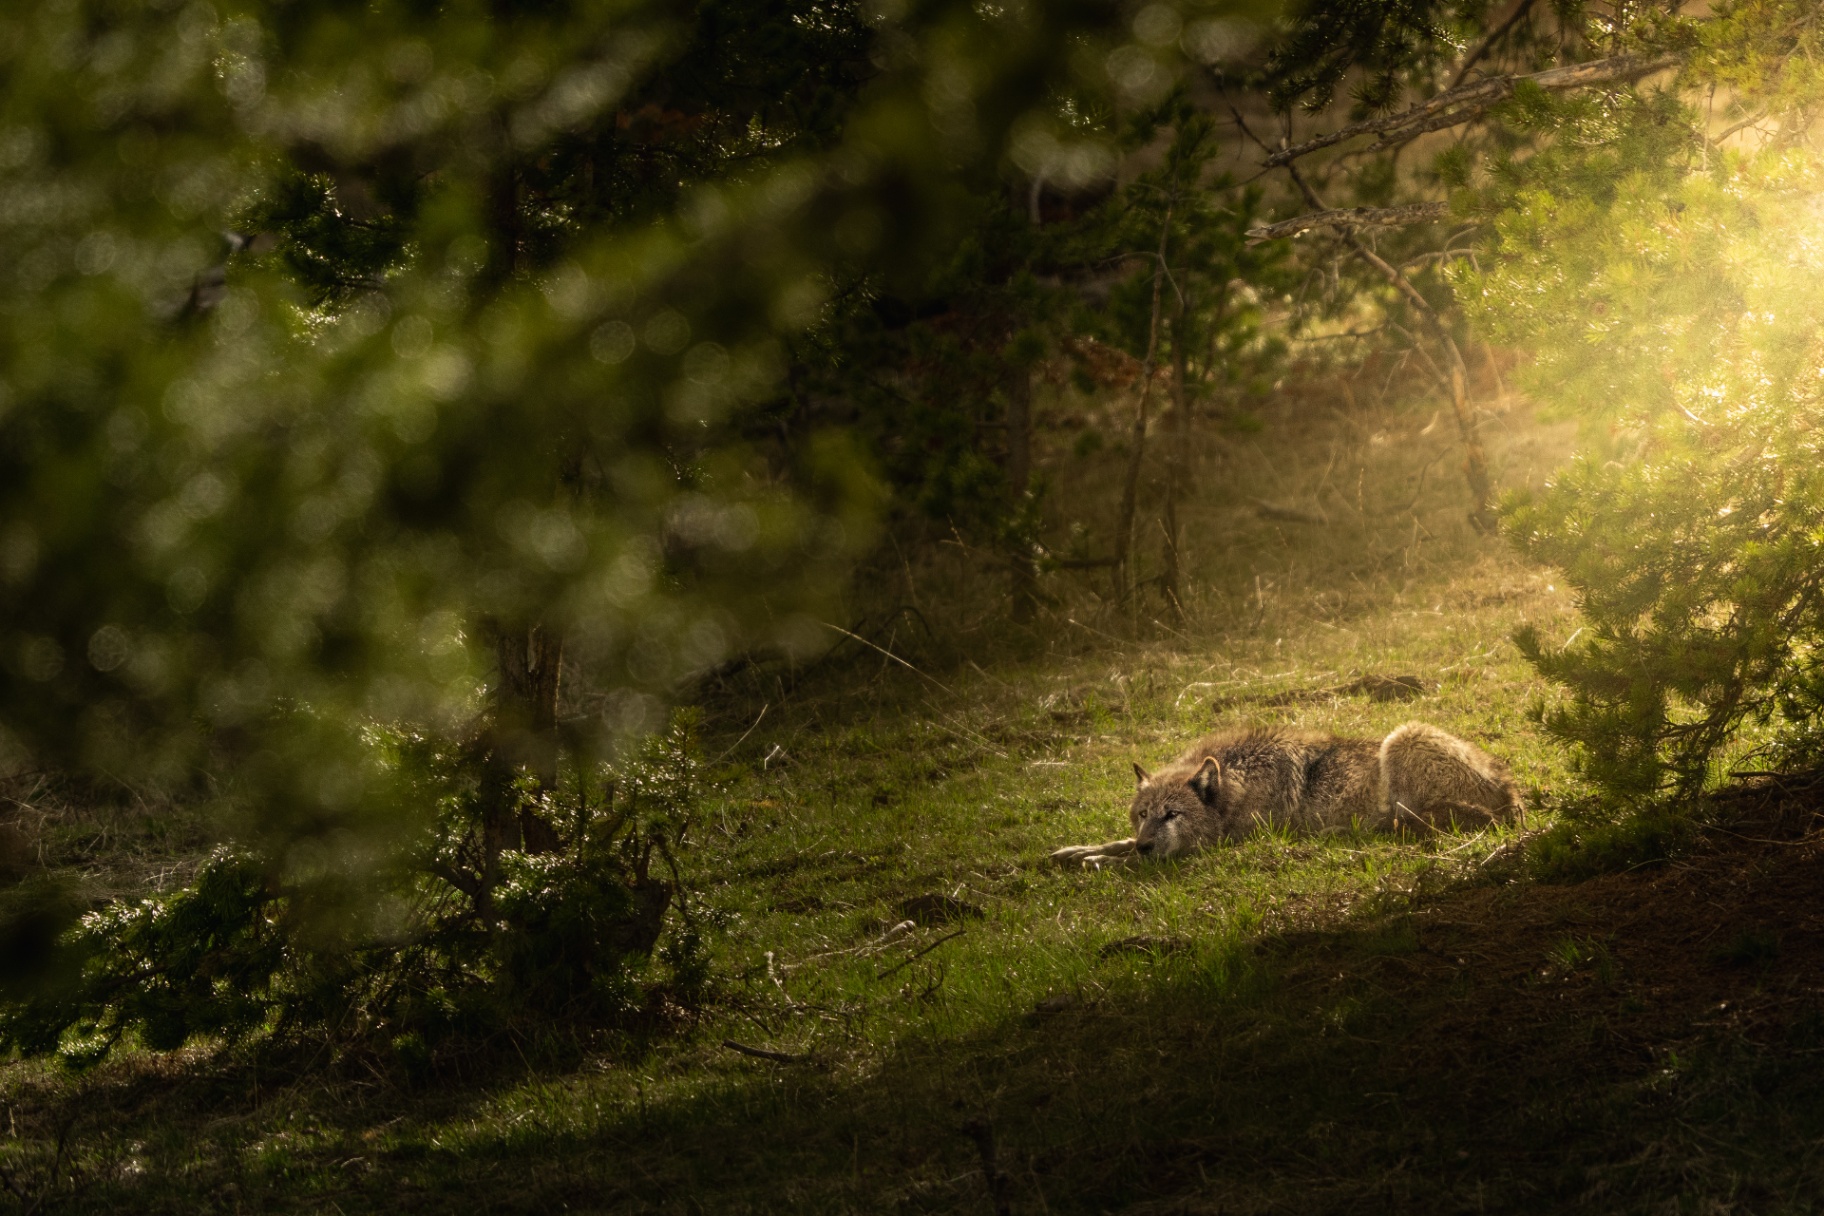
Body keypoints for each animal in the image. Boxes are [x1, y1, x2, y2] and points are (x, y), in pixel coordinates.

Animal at [1050, 722, 1523, 865]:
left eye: (1172, 815)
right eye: (1143, 814)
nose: (1148, 844)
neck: (1240, 782)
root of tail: (1512, 797)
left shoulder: (1219, 844)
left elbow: (1126, 859)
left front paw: (1097, 862)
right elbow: (1117, 842)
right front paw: (1074, 851)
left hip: (1400, 738)